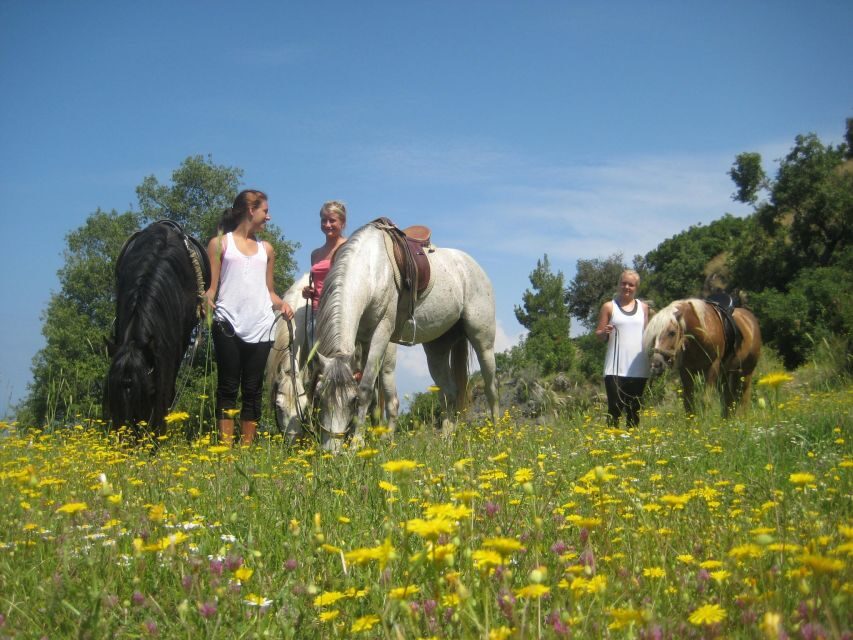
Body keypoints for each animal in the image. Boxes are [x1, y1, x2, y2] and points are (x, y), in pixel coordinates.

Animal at [311, 219, 499, 451]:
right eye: (319, 398)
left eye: (352, 400)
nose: (332, 451)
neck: (372, 270)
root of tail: (472, 266)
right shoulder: (362, 340)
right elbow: (374, 394)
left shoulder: (381, 332)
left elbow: (366, 388)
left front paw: (356, 444)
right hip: (436, 351)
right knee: (450, 393)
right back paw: (447, 441)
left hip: (483, 342)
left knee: (491, 388)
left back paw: (497, 436)